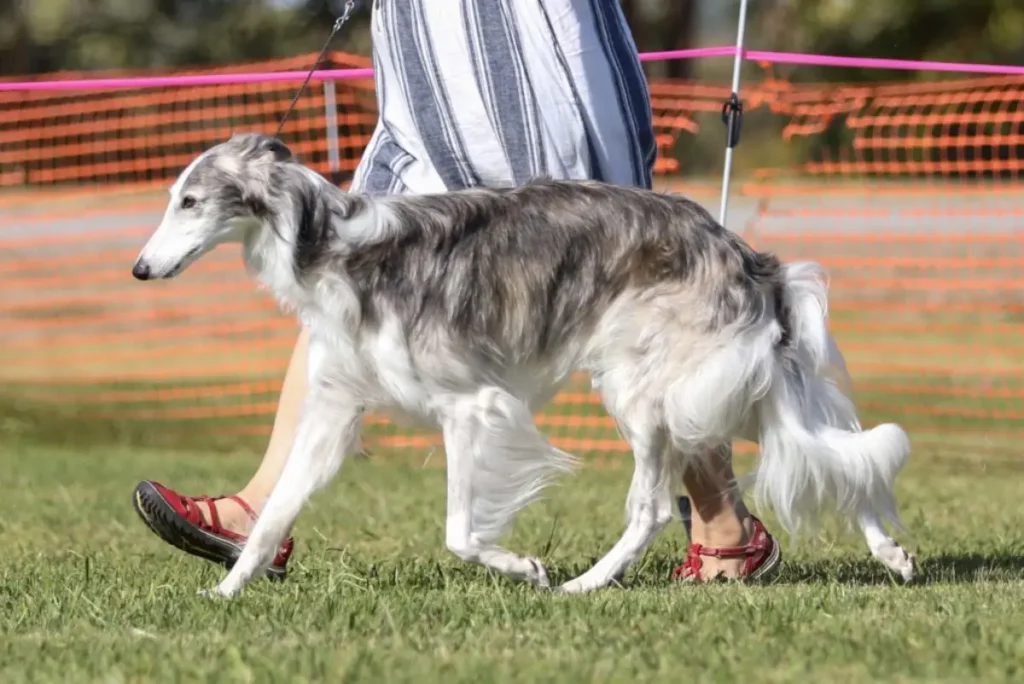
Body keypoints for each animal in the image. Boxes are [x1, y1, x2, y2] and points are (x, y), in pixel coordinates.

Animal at [132, 132, 917, 593]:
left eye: (190, 201)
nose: (139, 269)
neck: (331, 246)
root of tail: (747, 256)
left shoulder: (471, 406)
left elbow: (459, 532)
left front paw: (526, 567)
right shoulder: (332, 408)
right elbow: (271, 517)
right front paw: (225, 591)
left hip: (657, 392)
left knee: (656, 506)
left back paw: (583, 586)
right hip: (725, 387)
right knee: (840, 456)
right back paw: (892, 553)